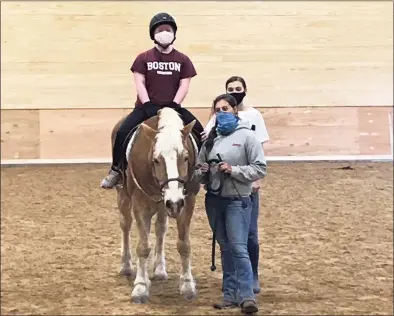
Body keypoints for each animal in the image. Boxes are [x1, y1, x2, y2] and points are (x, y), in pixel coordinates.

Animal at [111, 107, 202, 304]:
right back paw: (127, 266)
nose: (174, 202)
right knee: (125, 225)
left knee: (160, 228)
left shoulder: (186, 202)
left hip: (163, 206)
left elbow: (184, 245)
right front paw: (140, 288)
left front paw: (187, 285)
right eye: (156, 160)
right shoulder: (140, 205)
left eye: (185, 158)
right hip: (124, 196)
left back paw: (159, 269)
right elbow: (143, 247)